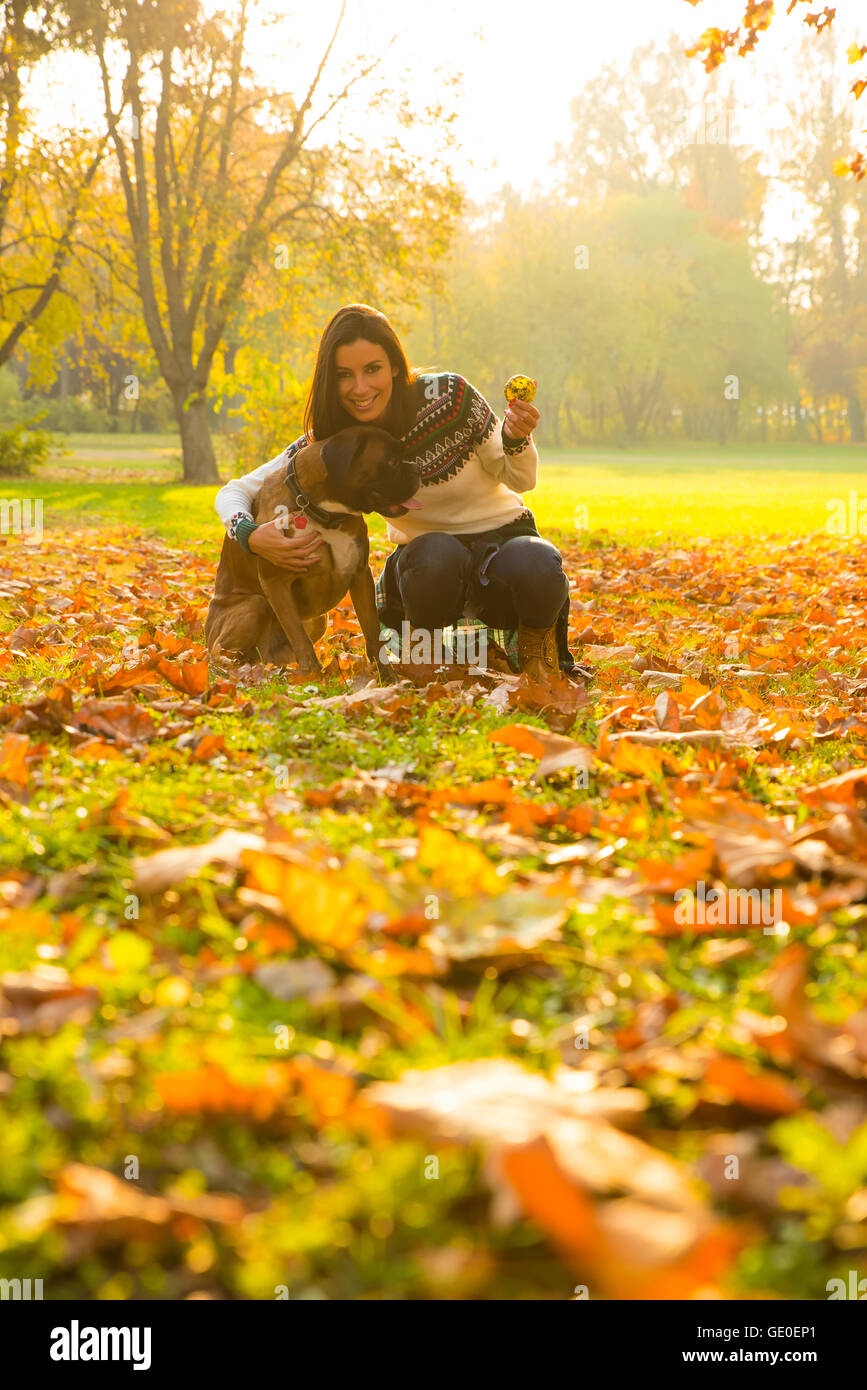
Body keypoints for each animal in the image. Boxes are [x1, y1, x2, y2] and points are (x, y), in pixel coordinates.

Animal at [204, 428, 419, 678]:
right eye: (391, 461)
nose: (416, 467)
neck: (322, 511)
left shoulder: (360, 574)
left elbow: (371, 630)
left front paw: (386, 675)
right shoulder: (275, 582)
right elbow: (299, 637)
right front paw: (313, 676)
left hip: (319, 620)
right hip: (254, 606)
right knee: (219, 653)